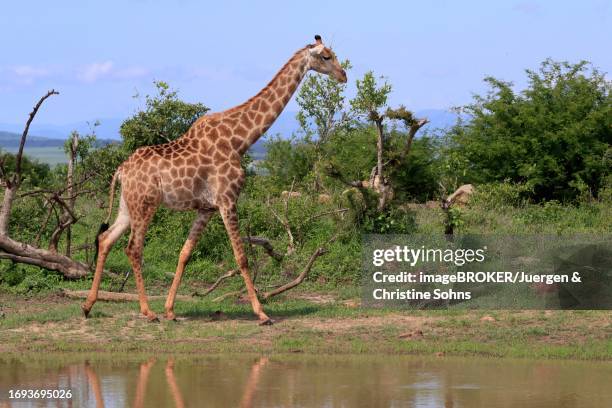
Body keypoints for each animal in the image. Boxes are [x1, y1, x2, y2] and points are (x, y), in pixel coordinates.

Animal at [82, 35, 350, 324]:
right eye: (326, 56)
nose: (343, 75)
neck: (240, 140)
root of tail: (121, 169)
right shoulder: (227, 200)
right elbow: (242, 257)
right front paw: (262, 313)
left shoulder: (206, 208)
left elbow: (185, 253)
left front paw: (170, 309)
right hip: (145, 205)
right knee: (133, 248)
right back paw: (146, 311)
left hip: (127, 205)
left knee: (105, 239)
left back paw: (88, 305)